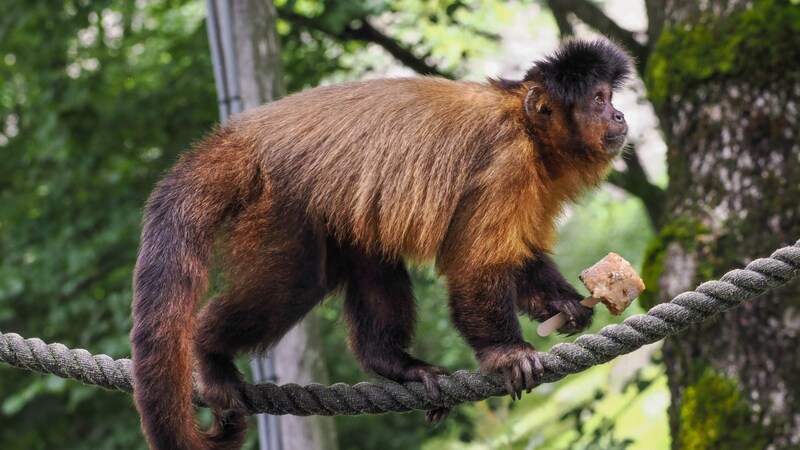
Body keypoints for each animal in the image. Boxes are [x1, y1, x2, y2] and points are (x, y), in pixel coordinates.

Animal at [130, 38, 632, 450]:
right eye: (599, 100)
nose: (620, 115)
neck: (526, 127)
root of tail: (246, 137)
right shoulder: (506, 164)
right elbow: (477, 264)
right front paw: (507, 353)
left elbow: (520, 256)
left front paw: (565, 304)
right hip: (280, 201)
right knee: (295, 283)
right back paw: (209, 352)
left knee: (371, 256)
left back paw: (393, 364)